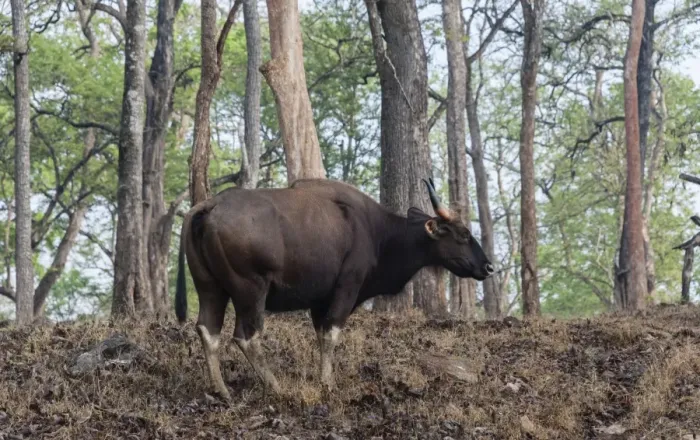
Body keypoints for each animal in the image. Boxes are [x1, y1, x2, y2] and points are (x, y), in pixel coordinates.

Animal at [175, 177, 493, 400]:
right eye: (464, 234)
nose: (488, 267)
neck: (378, 233)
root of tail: (207, 207)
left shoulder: (319, 301)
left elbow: (320, 335)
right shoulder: (347, 288)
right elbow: (331, 334)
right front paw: (327, 383)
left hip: (210, 288)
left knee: (207, 330)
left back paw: (221, 390)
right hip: (251, 291)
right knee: (246, 336)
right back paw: (275, 386)